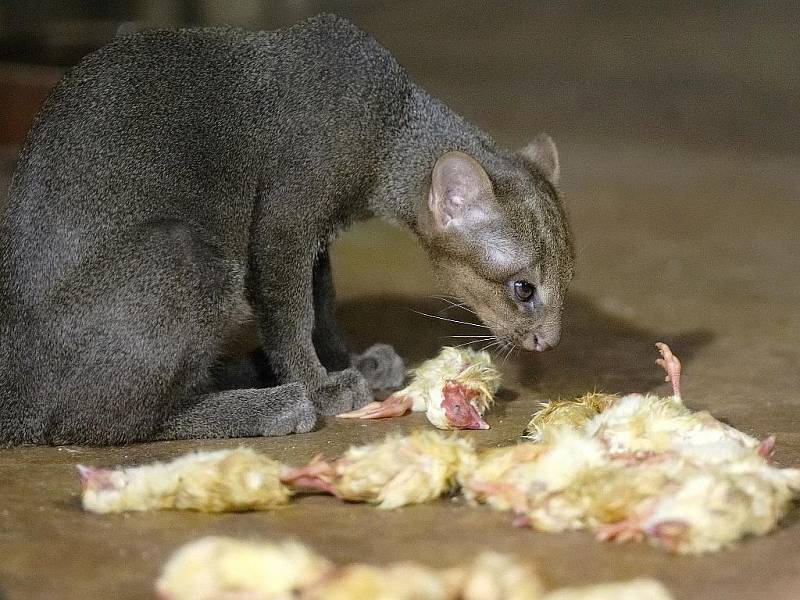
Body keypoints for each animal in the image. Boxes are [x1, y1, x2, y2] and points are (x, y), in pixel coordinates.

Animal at [0, 15, 572, 446]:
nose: (549, 341)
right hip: (186, 254)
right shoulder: (286, 224)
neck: (389, 121)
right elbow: (292, 316)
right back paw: (272, 406)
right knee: (100, 423)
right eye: (524, 289)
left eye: (565, 284)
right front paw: (319, 387)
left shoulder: (317, 238)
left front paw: (348, 363)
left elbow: (322, 307)